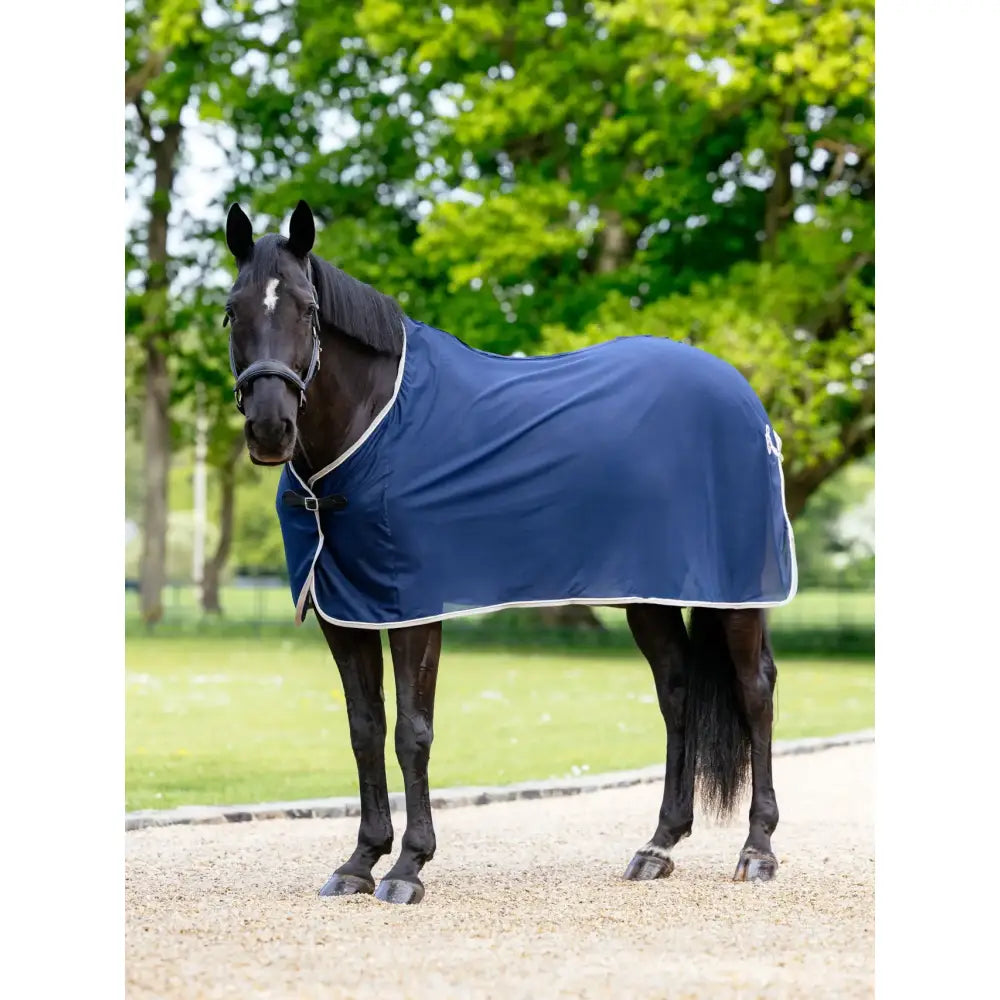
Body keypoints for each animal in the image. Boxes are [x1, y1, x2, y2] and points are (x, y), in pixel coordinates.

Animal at [222, 200, 797, 905]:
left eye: (307, 309)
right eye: (232, 310)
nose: (270, 427)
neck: (372, 426)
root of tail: (745, 399)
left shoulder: (413, 609)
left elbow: (412, 732)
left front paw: (408, 867)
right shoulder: (345, 612)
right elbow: (365, 730)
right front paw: (360, 861)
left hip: (736, 595)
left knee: (755, 691)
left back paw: (758, 850)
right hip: (650, 595)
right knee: (678, 692)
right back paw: (658, 845)